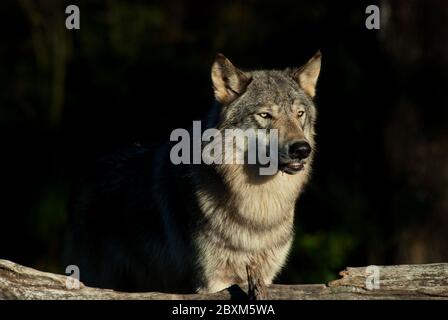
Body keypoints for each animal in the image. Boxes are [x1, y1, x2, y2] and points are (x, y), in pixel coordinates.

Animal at [64, 51, 322, 294]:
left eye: (299, 114)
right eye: (265, 115)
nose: (302, 149)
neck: (258, 209)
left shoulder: (263, 279)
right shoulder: (213, 282)